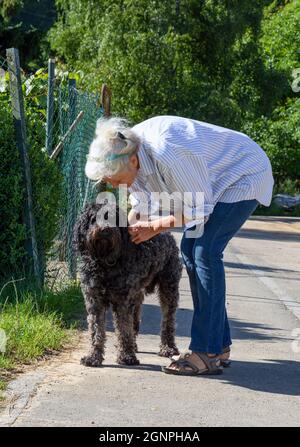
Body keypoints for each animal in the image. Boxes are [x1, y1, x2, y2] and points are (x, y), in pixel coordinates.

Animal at [72, 203, 182, 368]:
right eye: (93, 218)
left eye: (112, 217)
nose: (104, 229)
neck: (105, 263)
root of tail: (167, 234)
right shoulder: (94, 300)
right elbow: (96, 330)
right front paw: (93, 356)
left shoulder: (122, 300)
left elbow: (124, 328)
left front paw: (126, 356)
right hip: (136, 295)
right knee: (135, 320)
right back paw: (134, 345)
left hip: (169, 288)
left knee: (168, 320)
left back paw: (168, 347)